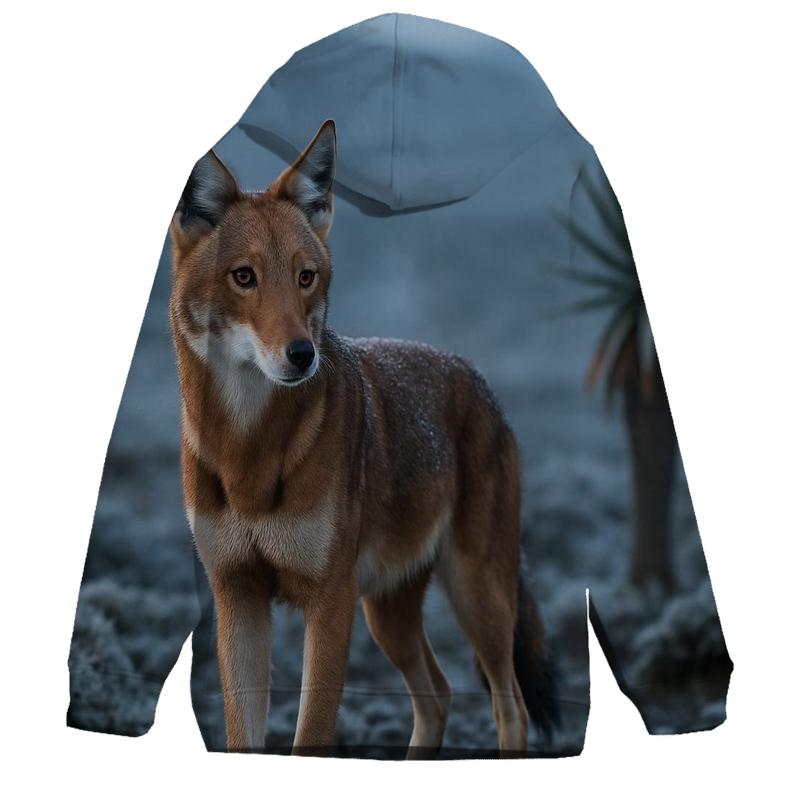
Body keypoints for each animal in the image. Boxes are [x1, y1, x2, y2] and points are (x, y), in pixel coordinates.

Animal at [169, 119, 559, 757]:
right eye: (244, 277)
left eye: (306, 277)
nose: (303, 354)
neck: (248, 451)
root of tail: (476, 380)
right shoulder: (238, 600)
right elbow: (242, 733)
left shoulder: (330, 600)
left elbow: (311, 734)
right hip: (387, 613)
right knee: (439, 694)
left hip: (476, 598)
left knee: (511, 707)